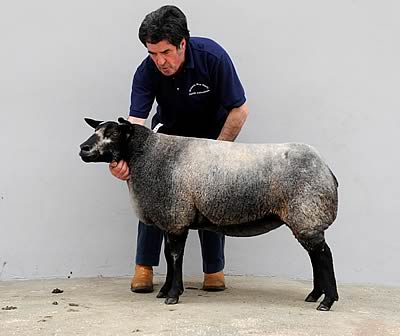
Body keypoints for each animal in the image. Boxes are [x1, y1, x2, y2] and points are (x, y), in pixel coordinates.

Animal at [79, 117, 340, 312]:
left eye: (113, 133)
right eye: (95, 130)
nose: (83, 148)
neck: (151, 154)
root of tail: (327, 169)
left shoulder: (176, 216)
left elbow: (175, 257)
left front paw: (172, 295)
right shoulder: (170, 218)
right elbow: (168, 256)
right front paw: (165, 290)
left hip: (307, 213)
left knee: (324, 256)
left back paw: (327, 301)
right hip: (305, 218)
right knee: (316, 256)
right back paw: (314, 295)